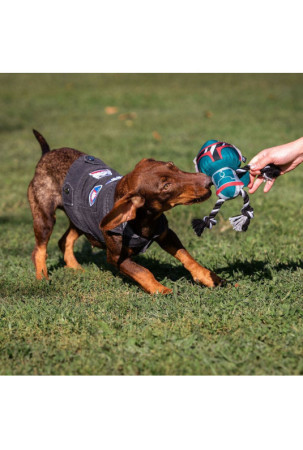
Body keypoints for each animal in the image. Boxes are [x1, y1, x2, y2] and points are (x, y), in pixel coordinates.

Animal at [28, 130, 223, 294]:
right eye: (166, 186)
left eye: (173, 165)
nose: (208, 180)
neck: (145, 220)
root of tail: (46, 154)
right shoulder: (116, 257)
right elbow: (143, 271)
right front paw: (160, 289)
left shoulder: (166, 234)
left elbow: (187, 256)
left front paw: (208, 277)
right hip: (45, 215)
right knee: (39, 250)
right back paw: (42, 277)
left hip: (79, 218)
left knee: (64, 240)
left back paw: (75, 267)